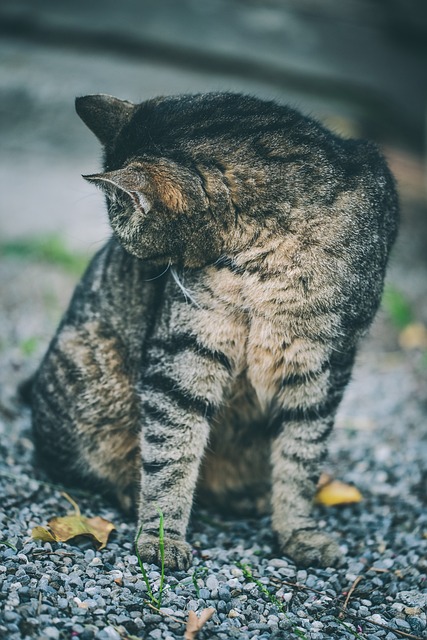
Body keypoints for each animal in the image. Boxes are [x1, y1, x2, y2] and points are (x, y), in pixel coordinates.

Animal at [30, 92, 402, 568]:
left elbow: (301, 459)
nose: (134, 264)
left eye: (130, 239)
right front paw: (162, 539)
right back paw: (130, 491)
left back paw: (251, 499)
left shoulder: (323, 366)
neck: (266, 257)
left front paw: (299, 532)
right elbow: (170, 457)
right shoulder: (185, 353)